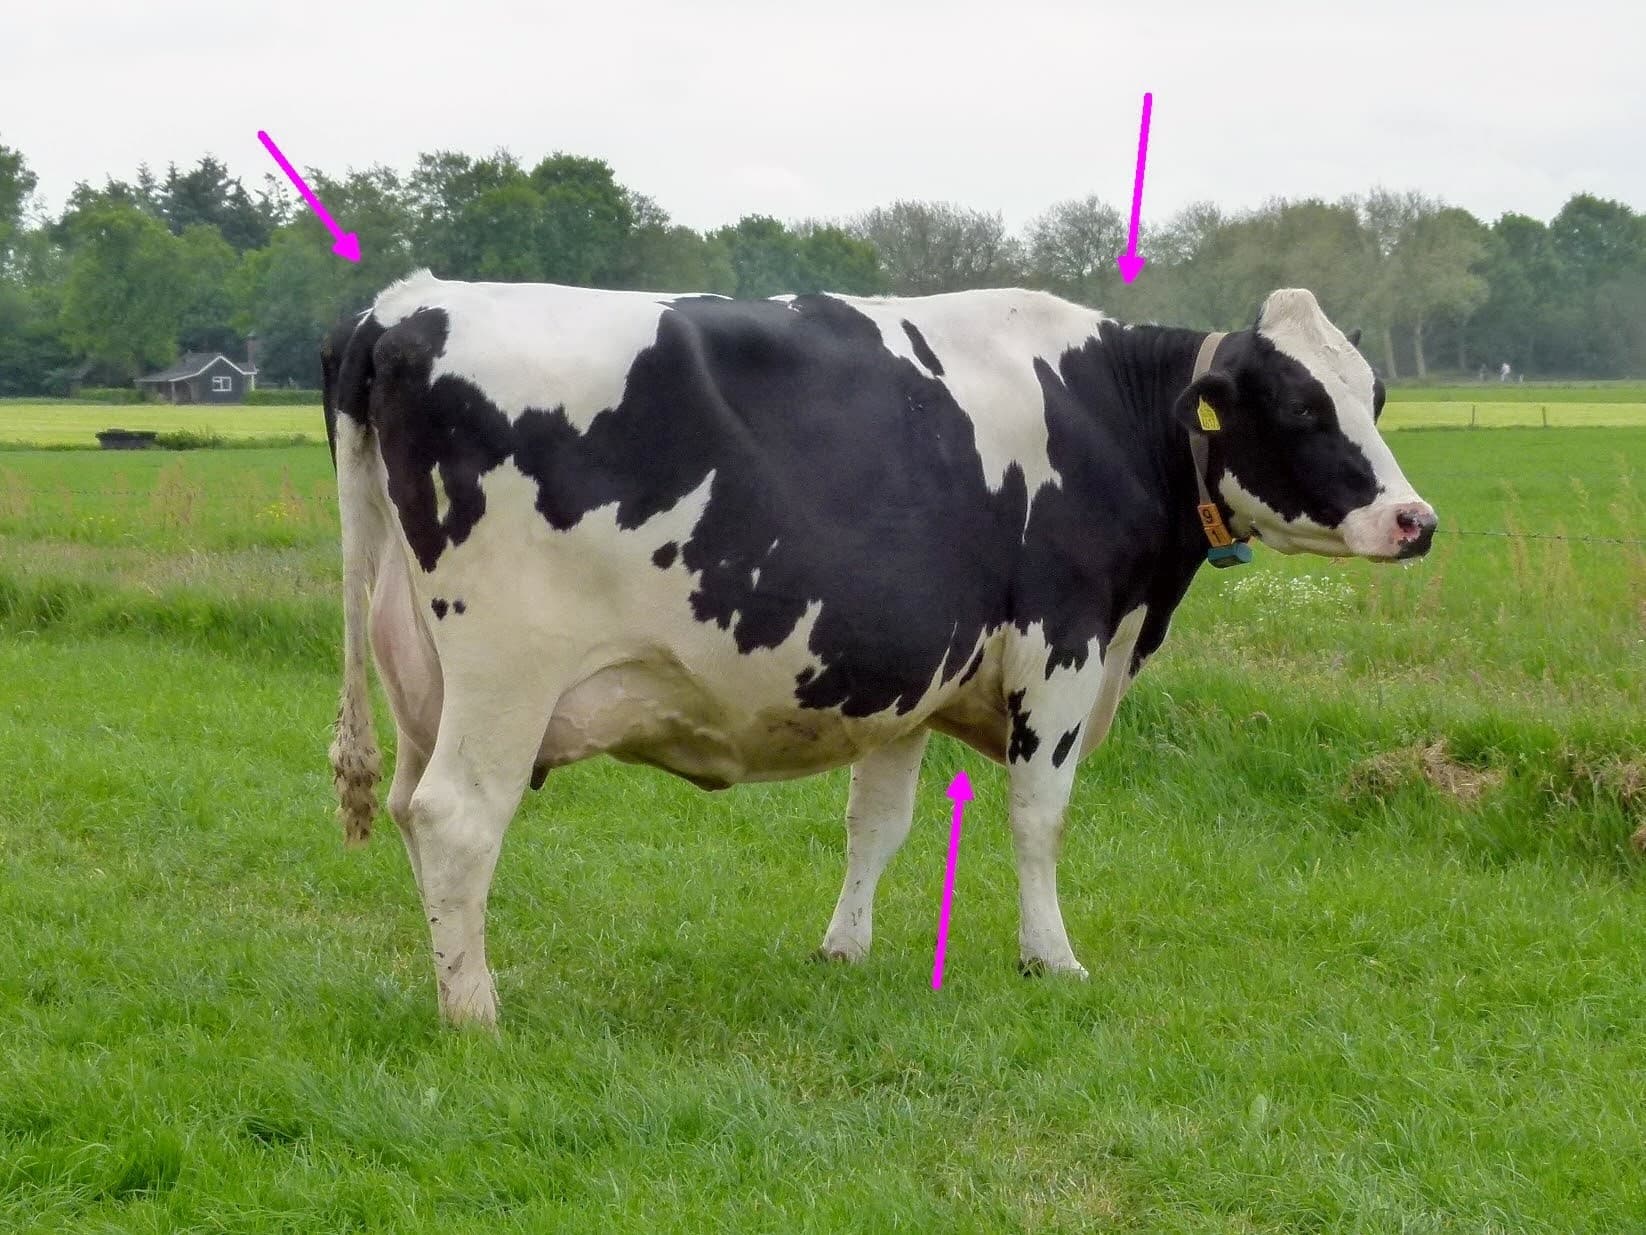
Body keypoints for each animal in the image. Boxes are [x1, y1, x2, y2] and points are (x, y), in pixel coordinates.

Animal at [321, 271, 1436, 1026]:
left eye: (1374, 395)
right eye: (1300, 405)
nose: (1414, 520)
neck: (1110, 410)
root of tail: (401, 307)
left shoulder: (914, 670)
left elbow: (876, 823)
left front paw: (842, 950)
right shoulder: (1062, 640)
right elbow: (1039, 816)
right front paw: (1050, 958)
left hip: (416, 668)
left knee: (410, 809)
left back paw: (448, 982)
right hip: (507, 668)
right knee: (458, 817)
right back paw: (475, 1011)